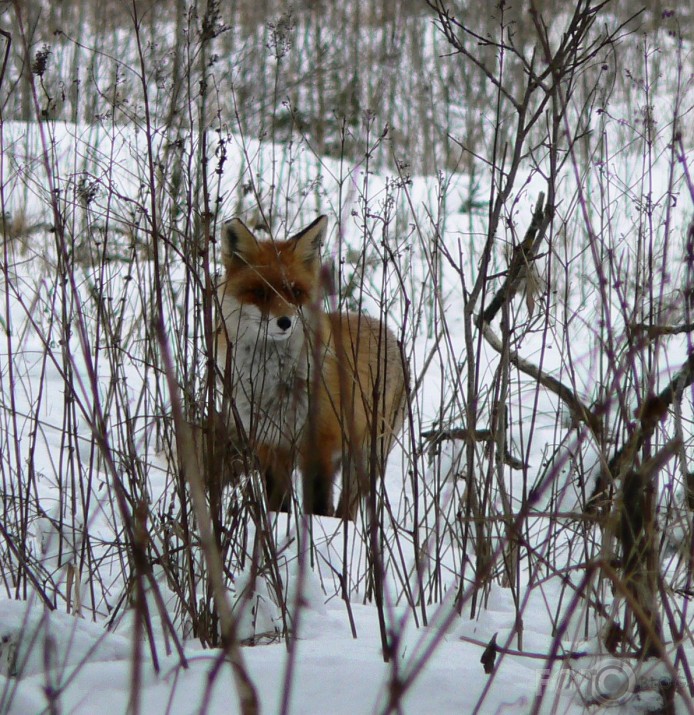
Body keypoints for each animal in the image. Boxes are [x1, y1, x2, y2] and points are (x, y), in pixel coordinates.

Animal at [215, 215, 406, 516]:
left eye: (295, 292)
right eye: (260, 292)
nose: (284, 322)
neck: (274, 381)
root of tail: (387, 330)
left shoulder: (319, 445)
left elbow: (317, 505)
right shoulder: (270, 444)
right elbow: (277, 502)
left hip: (366, 455)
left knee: (348, 507)